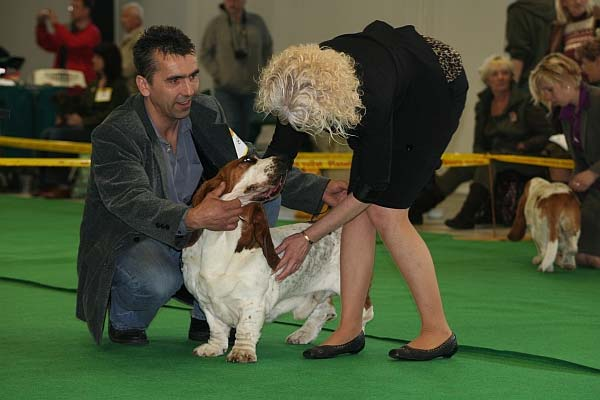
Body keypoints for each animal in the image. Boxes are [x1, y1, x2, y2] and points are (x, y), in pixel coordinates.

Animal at [180, 155, 372, 362]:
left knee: (364, 312)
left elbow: (246, 328)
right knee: (325, 310)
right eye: (247, 160)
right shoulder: (206, 301)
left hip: (348, 284)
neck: (222, 238)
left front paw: (242, 352)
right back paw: (303, 334)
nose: (283, 160)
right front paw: (213, 347)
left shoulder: (252, 302)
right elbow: (216, 328)